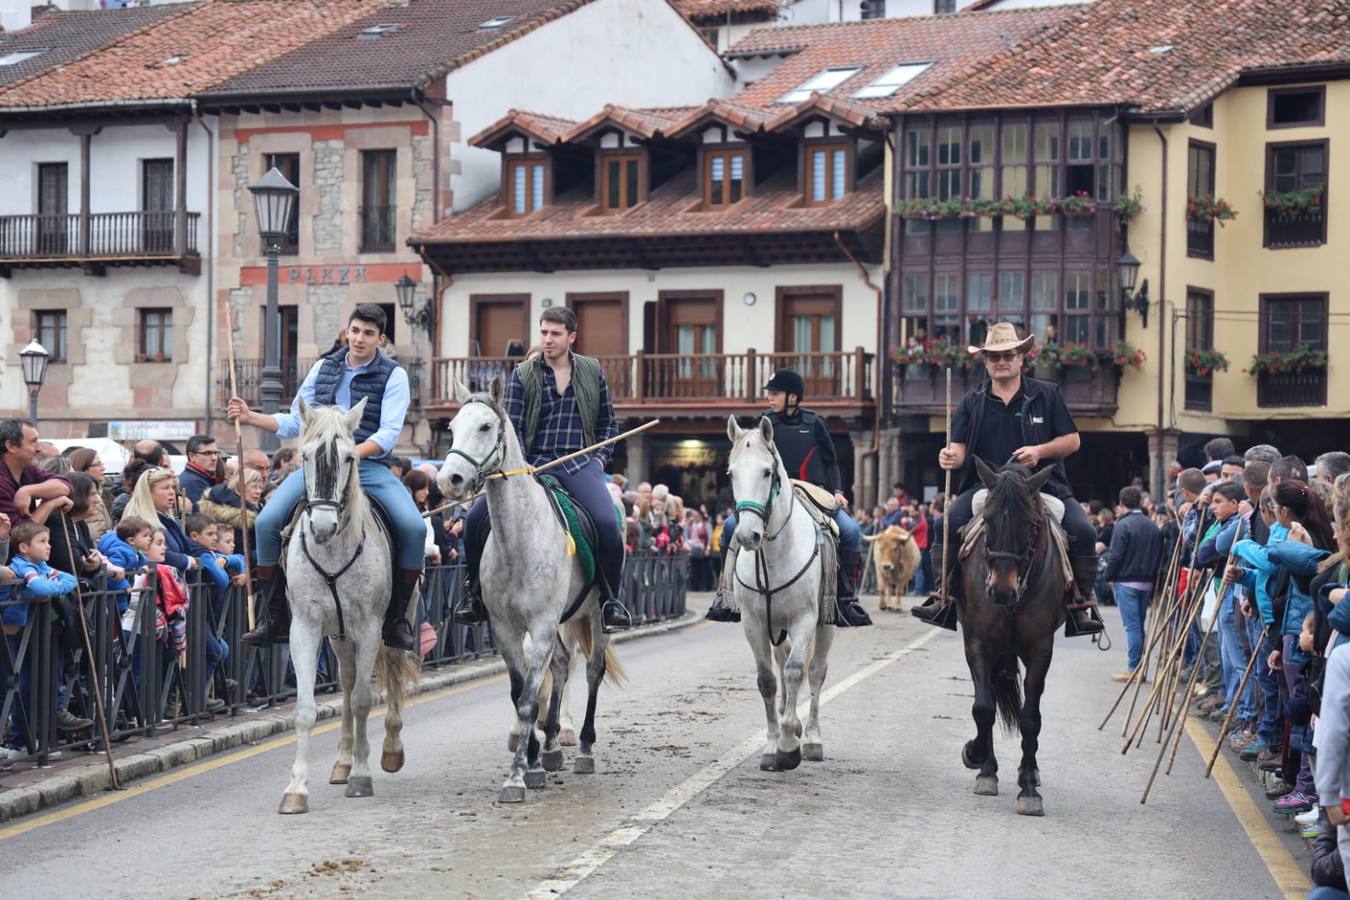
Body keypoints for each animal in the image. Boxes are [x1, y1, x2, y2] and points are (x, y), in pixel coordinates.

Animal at [278, 402, 415, 814]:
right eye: (305, 456)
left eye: (350, 458)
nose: (322, 527)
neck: (332, 551)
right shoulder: (305, 628)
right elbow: (307, 709)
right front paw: (296, 789)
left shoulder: (370, 627)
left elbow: (363, 701)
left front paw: (362, 775)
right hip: (339, 637)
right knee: (349, 681)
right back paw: (341, 762)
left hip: (394, 624)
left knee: (387, 679)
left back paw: (389, 751)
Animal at [440, 375, 623, 804]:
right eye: (452, 427)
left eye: (485, 426)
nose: (448, 480)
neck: (518, 540)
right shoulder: (506, 629)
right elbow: (520, 692)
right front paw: (534, 761)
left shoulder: (539, 624)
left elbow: (526, 701)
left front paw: (516, 777)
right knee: (560, 665)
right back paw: (553, 745)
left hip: (596, 617)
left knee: (591, 671)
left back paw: (584, 748)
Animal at [729, 418, 831, 771]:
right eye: (731, 473)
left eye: (766, 472)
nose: (748, 535)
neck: (774, 556)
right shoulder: (753, 623)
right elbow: (768, 680)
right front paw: (774, 746)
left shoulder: (805, 619)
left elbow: (796, 670)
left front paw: (789, 745)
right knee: (783, 662)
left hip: (826, 625)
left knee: (816, 673)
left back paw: (811, 738)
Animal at [955, 458, 1069, 814]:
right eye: (987, 520)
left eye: (1031, 524)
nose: (1001, 590)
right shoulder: (977, 641)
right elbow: (983, 707)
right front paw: (977, 757)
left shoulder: (1040, 648)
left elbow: (1030, 717)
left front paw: (1028, 788)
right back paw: (988, 768)